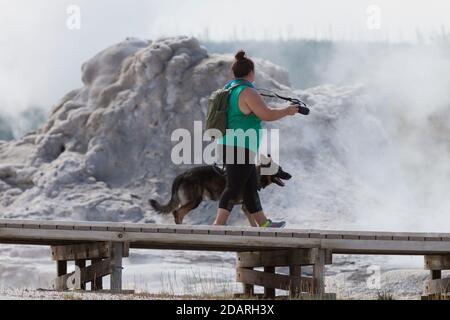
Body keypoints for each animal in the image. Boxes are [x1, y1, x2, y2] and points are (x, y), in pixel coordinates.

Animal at [149, 158, 294, 225]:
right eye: (280, 170)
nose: (290, 175)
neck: (258, 174)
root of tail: (182, 174)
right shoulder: (246, 204)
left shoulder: (245, 206)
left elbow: (253, 222)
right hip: (195, 200)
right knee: (177, 212)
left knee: (178, 212)